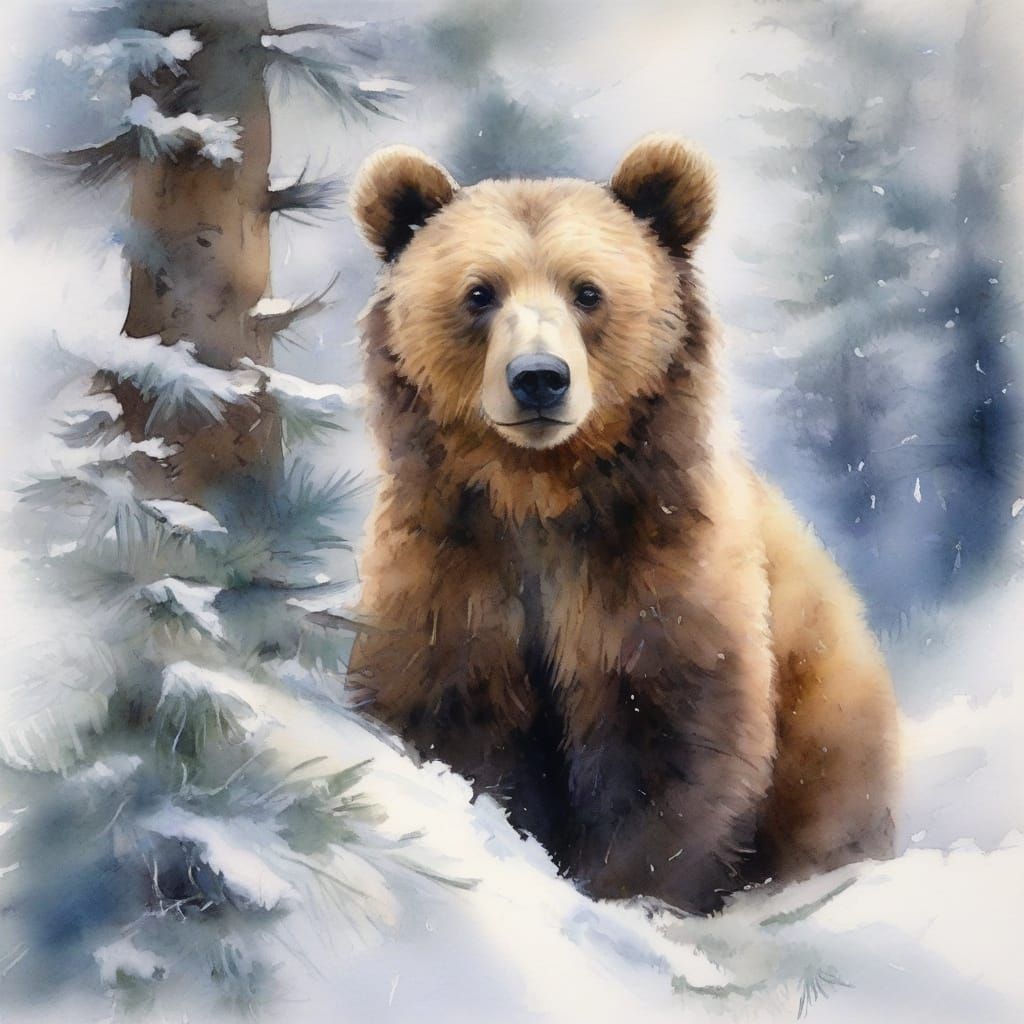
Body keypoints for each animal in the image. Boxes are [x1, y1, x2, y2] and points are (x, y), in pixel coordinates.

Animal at [345, 135, 900, 914]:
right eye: (480, 293)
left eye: (588, 291)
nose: (539, 378)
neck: (538, 496)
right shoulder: (448, 571)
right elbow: (441, 712)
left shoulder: (657, 571)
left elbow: (673, 744)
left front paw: (627, 890)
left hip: (832, 728)